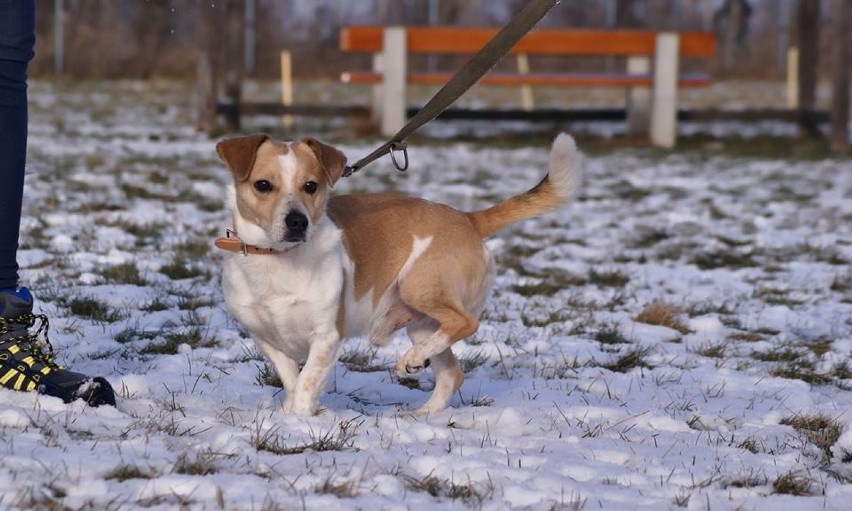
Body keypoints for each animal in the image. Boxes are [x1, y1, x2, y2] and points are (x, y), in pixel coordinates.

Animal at [216, 133, 584, 416]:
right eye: (263, 185)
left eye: (311, 186)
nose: (297, 222)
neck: (277, 260)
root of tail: (468, 218)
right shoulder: (266, 339)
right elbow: (293, 381)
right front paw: (291, 414)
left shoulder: (327, 336)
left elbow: (307, 383)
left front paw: (301, 421)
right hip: (421, 323)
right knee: (451, 373)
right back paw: (422, 415)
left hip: (418, 287)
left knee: (466, 323)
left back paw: (414, 361)